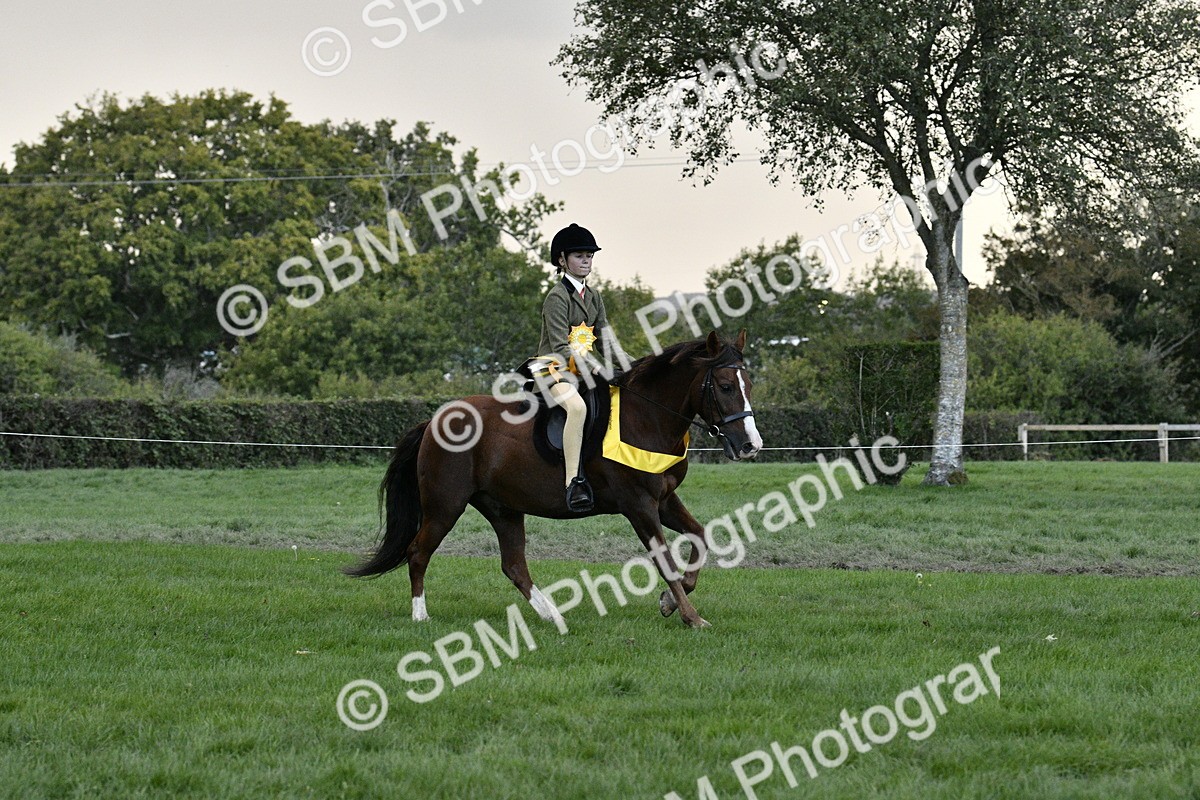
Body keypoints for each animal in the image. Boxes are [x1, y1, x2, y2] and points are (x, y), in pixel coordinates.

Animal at [345, 330, 762, 629]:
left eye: (749, 386)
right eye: (726, 386)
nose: (750, 446)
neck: (646, 417)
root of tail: (434, 421)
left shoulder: (663, 500)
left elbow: (700, 537)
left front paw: (670, 602)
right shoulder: (639, 506)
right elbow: (665, 561)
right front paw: (691, 617)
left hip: (503, 508)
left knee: (514, 565)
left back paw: (553, 617)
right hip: (445, 506)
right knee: (418, 552)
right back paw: (420, 615)